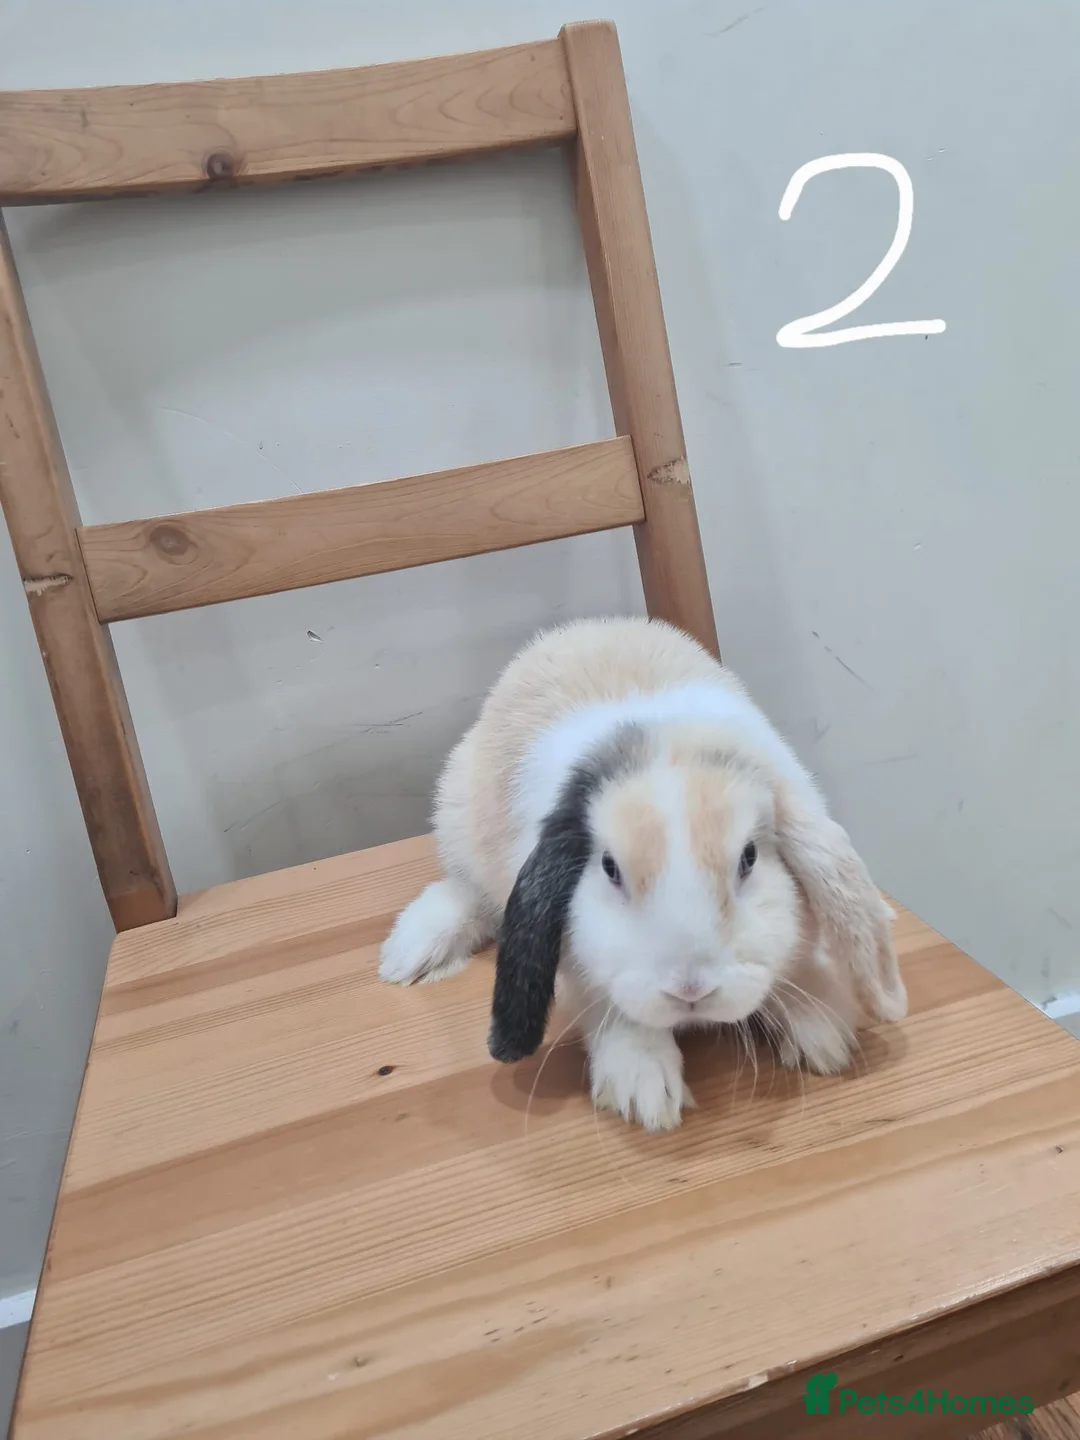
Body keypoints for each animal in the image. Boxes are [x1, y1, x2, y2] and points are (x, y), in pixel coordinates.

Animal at [379, 616, 906, 1131]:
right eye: (610, 868)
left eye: (749, 858)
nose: (690, 990)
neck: (670, 742)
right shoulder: (587, 970)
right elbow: (613, 1012)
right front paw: (644, 1088)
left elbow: (794, 968)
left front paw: (821, 1029)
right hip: (457, 821)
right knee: (470, 895)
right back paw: (410, 953)